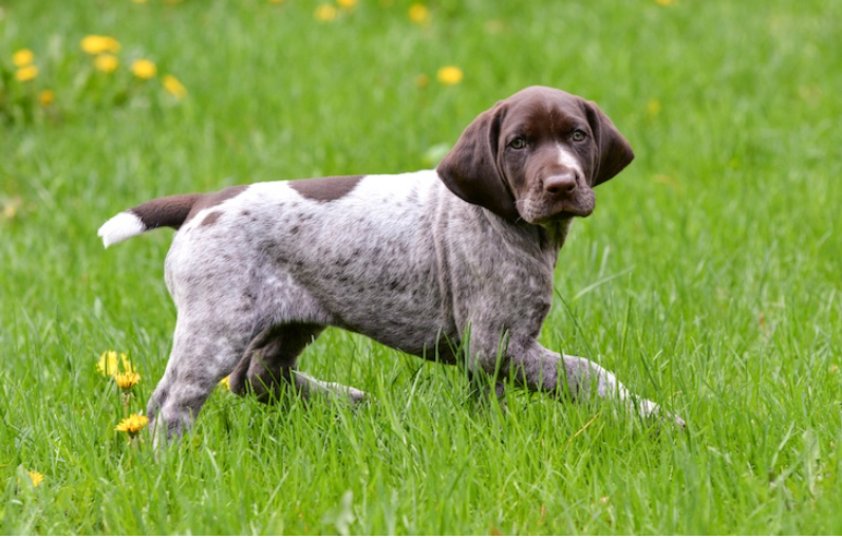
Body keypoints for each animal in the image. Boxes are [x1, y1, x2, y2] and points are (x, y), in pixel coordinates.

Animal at [97, 86, 684, 440]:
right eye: (518, 143)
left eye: (577, 136)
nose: (562, 184)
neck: (514, 223)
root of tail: (202, 202)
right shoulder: (499, 345)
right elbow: (589, 373)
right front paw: (654, 415)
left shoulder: (489, 354)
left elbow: (490, 402)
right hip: (216, 327)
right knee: (173, 402)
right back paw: (168, 461)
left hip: (289, 317)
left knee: (256, 377)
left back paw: (346, 401)